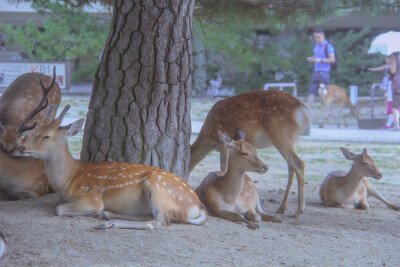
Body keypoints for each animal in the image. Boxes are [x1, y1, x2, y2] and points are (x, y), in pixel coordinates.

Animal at [16, 105, 206, 231]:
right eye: (32, 131)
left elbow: (59, 209)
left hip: (158, 187)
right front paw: (97, 213)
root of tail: (198, 206)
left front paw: (92, 212)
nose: (21, 146)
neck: (69, 179)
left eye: (46, 136)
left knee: (159, 222)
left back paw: (107, 222)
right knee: (151, 216)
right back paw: (106, 215)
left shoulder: (91, 196)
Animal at [191, 91, 310, 219]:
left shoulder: (223, 146)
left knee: (299, 163)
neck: (208, 140)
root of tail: (301, 107)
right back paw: (282, 208)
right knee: (291, 166)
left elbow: (223, 166)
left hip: (281, 134)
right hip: (289, 140)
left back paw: (298, 210)